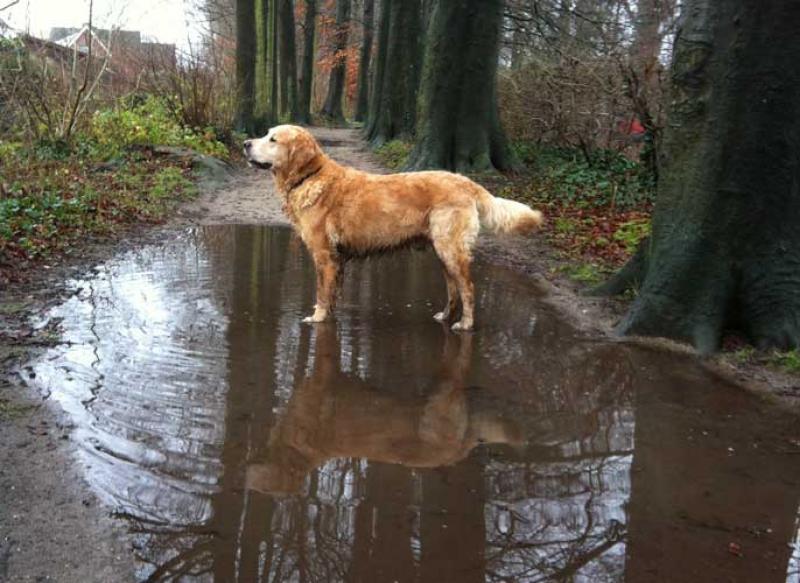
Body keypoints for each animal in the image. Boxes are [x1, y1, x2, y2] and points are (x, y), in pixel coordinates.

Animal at [245, 125, 544, 330]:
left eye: (273, 139)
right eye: (266, 134)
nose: (246, 142)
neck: (309, 176)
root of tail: (466, 181)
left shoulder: (324, 255)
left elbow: (321, 291)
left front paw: (317, 317)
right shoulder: (337, 259)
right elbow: (332, 294)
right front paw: (328, 313)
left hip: (450, 249)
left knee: (468, 288)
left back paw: (465, 324)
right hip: (442, 253)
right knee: (453, 290)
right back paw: (444, 316)